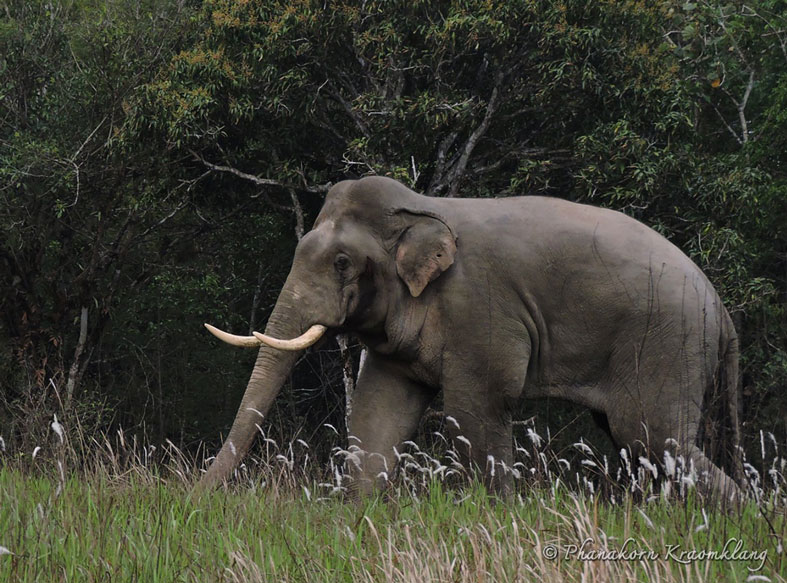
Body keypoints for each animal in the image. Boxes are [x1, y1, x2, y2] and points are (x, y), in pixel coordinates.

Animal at [202, 176, 742, 500]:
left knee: (653, 436)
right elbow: (378, 414)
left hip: (667, 343)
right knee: (640, 444)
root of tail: (722, 309)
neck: (423, 209)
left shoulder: (478, 308)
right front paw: (357, 517)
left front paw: (500, 514)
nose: (195, 501)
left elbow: (475, 410)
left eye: (340, 263)